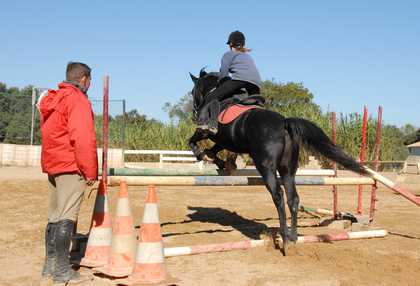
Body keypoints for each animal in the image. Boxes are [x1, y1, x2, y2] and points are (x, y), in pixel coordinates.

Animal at [189, 68, 370, 255]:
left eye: (193, 92)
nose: (195, 115)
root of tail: (284, 122)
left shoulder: (208, 133)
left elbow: (193, 141)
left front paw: (206, 156)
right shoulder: (226, 141)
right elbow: (213, 149)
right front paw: (219, 160)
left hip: (266, 167)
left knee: (278, 196)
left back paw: (285, 238)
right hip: (288, 170)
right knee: (293, 199)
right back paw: (293, 237)